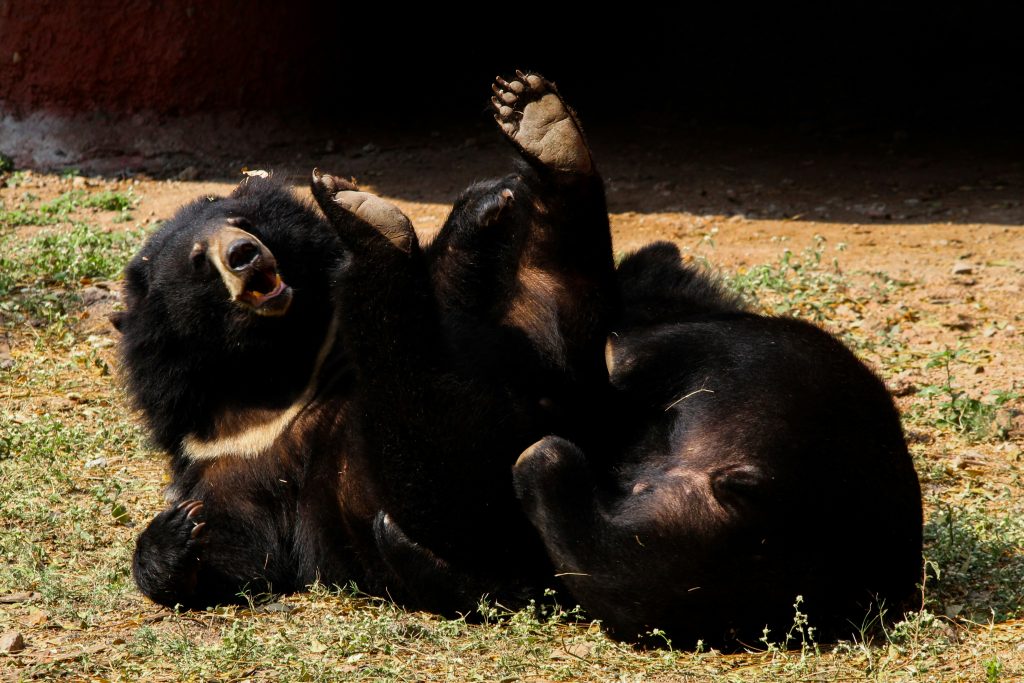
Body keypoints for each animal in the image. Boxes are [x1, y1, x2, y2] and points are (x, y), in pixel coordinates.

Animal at [119, 72, 614, 610]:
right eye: (198, 260)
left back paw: (534, 123)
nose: (245, 254)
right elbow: (236, 546)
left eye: (244, 226)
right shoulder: (226, 451)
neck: (278, 362)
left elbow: (449, 301)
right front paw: (179, 530)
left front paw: (483, 204)